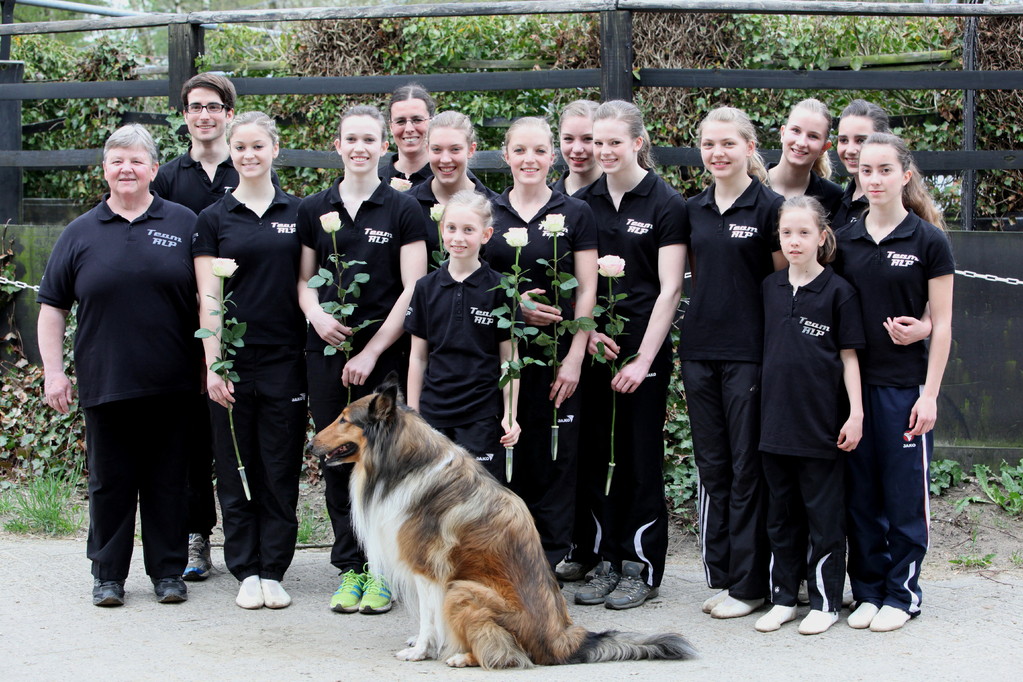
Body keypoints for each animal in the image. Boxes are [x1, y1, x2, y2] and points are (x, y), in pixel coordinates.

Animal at [310, 384, 695, 670]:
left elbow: (427, 618)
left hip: (461, 590)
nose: (311, 443)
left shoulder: (428, 571)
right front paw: (423, 643)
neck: (403, 461)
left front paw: (420, 650)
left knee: (507, 655)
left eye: (344, 419)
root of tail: (564, 641)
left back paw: (463, 656)